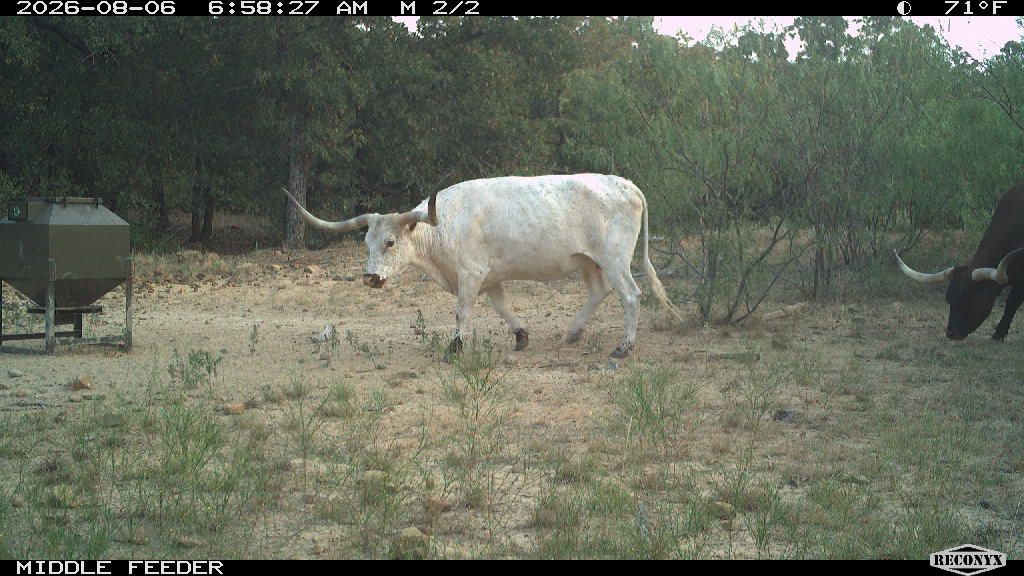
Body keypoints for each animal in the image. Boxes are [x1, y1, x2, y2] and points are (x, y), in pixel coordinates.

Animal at [282, 174, 684, 358]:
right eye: (366, 243)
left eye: (390, 243)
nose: (370, 277)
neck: (441, 226)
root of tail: (626, 184)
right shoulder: (490, 278)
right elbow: (502, 307)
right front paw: (521, 336)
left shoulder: (470, 274)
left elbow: (462, 311)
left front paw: (454, 347)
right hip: (589, 261)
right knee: (598, 292)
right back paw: (573, 332)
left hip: (615, 260)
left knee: (630, 295)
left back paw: (624, 346)